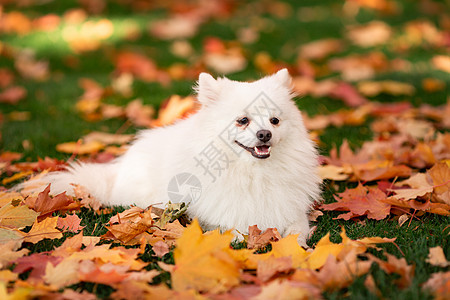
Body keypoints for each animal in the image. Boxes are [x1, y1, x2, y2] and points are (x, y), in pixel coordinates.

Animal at [23, 68, 324, 246]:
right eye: (242, 121)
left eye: (274, 121)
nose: (265, 134)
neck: (253, 173)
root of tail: (116, 172)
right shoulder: (224, 215)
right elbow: (236, 230)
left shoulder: (291, 211)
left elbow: (297, 230)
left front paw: (297, 247)